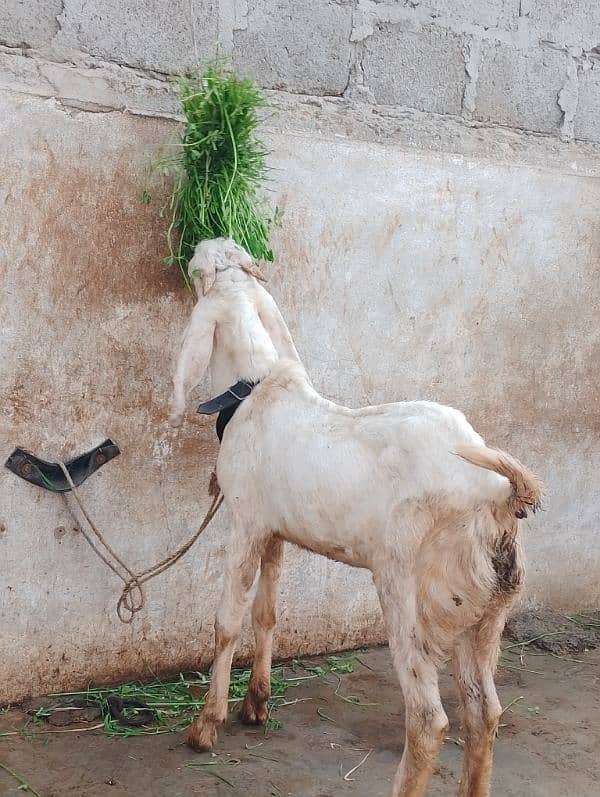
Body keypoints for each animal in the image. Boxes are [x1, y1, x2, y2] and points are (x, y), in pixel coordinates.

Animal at [166, 236, 540, 796]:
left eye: (197, 270)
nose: (195, 243)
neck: (255, 392)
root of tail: (497, 493)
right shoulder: (277, 530)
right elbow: (267, 615)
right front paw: (257, 703)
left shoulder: (246, 521)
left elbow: (227, 621)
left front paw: (206, 727)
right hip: (484, 613)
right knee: (484, 712)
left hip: (411, 595)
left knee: (429, 719)